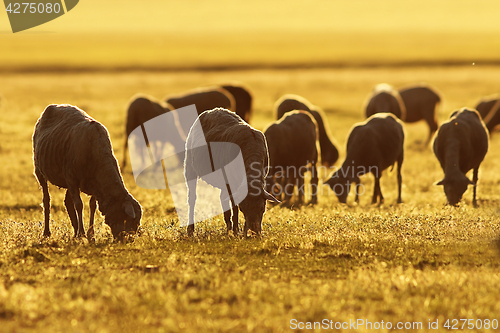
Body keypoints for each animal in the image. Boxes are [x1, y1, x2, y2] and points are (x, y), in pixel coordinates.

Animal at [32, 104, 143, 239]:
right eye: (127, 220)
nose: (128, 240)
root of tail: (52, 106)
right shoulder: (72, 179)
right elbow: (79, 205)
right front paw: (83, 232)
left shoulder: (94, 184)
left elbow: (92, 205)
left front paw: (90, 234)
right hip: (40, 171)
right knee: (47, 200)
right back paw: (47, 232)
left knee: (67, 202)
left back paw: (75, 233)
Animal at [185, 107, 280, 235]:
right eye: (243, 209)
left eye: (262, 208)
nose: (254, 232)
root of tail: (212, 110)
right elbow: (234, 206)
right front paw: (236, 231)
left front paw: (237, 230)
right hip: (189, 166)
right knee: (192, 199)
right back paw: (191, 230)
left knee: (222, 198)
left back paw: (228, 228)